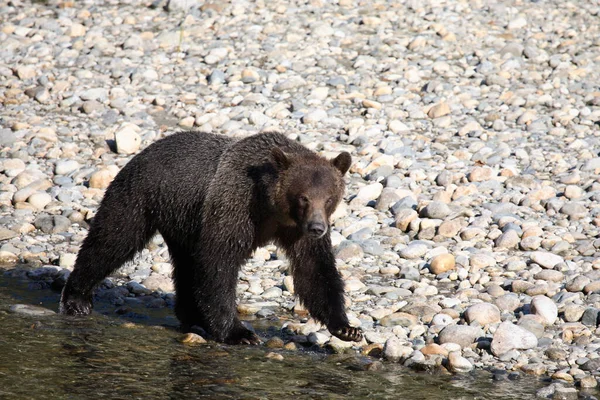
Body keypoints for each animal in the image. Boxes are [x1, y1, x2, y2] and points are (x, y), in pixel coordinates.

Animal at [59, 130, 360, 344]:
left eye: (329, 198)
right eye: (303, 197)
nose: (318, 227)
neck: (273, 208)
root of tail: (142, 151)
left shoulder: (296, 232)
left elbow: (315, 271)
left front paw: (346, 328)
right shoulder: (236, 205)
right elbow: (219, 262)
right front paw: (240, 333)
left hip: (182, 219)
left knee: (185, 265)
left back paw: (192, 316)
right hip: (141, 197)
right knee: (112, 239)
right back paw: (77, 299)